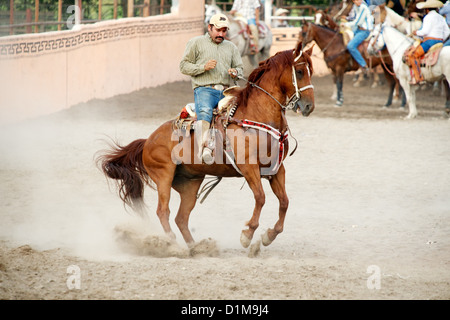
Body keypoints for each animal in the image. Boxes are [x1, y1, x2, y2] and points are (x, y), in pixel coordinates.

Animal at [96, 40, 314, 250]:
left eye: (310, 70)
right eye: (300, 71)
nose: (309, 106)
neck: (256, 114)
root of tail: (148, 140)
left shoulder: (277, 168)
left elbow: (284, 201)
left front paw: (269, 235)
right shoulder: (248, 166)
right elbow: (260, 197)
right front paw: (247, 234)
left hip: (190, 183)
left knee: (181, 217)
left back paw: (196, 248)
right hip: (164, 176)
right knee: (163, 211)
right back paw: (172, 245)